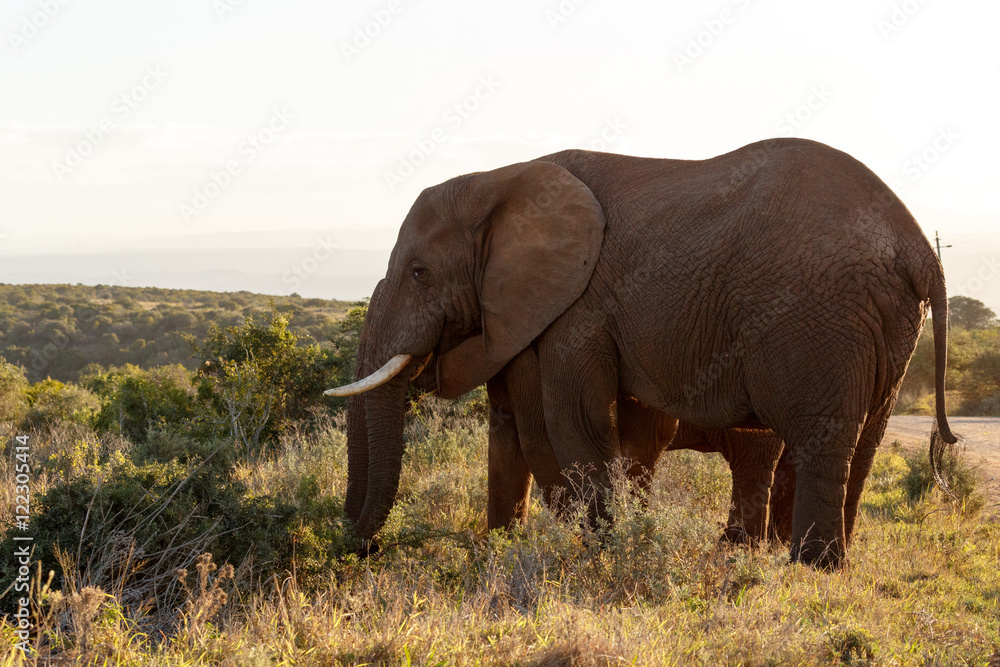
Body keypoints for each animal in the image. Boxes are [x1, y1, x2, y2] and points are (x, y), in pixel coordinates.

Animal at [330, 137, 956, 568]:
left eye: (419, 273)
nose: (361, 549)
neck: (501, 178)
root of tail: (919, 247)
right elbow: (520, 429)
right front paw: (505, 548)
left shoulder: (576, 307)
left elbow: (573, 423)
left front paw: (600, 550)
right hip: (883, 324)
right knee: (859, 443)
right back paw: (806, 562)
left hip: (818, 319)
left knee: (817, 437)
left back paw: (804, 568)